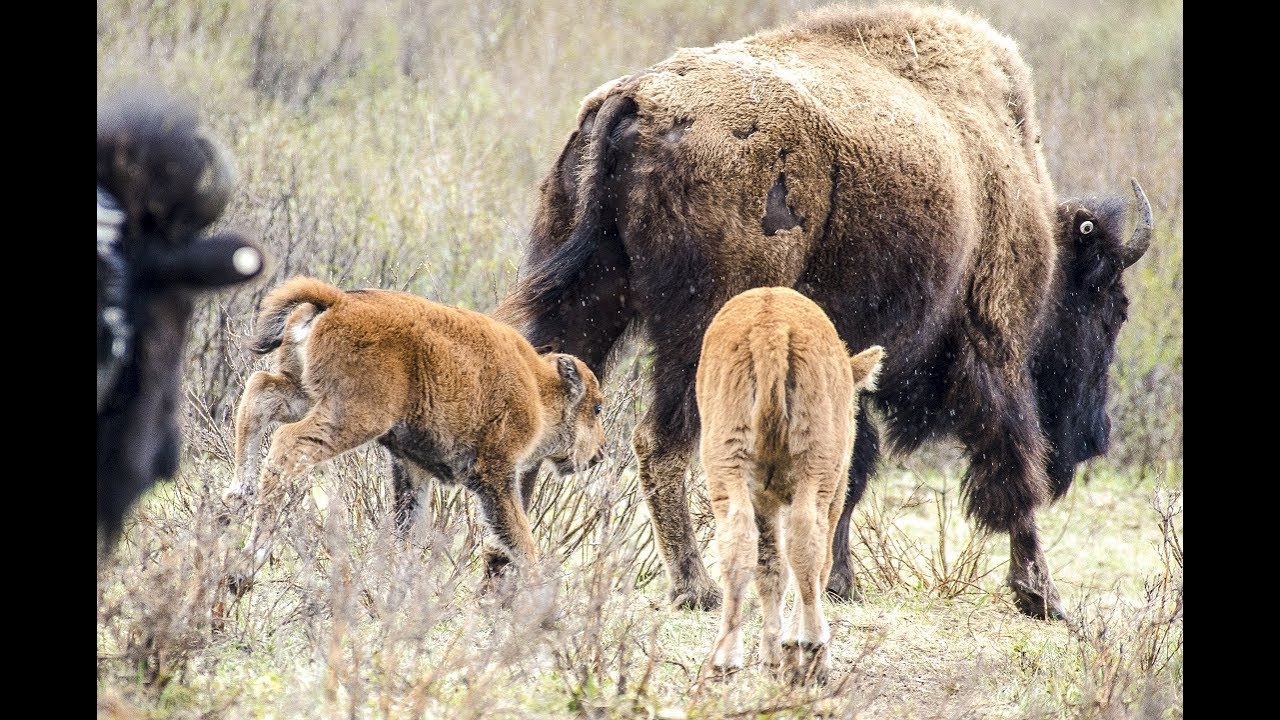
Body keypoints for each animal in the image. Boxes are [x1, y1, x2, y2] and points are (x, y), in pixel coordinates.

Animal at [495, 3, 1154, 620]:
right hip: (697, 333)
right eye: (1110, 310)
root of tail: (634, 101)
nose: (1096, 437)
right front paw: (1042, 596)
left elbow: (850, 468)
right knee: (659, 442)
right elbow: (1013, 470)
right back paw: (695, 589)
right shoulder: (995, 345)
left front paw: (838, 581)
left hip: (584, 305)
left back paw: (509, 574)